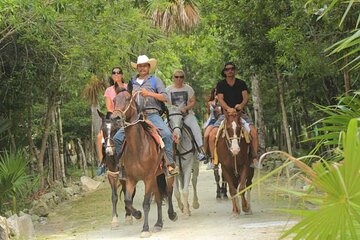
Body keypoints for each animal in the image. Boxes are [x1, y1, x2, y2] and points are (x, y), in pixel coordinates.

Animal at [112, 86, 177, 238]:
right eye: (114, 100)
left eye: (128, 99)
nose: (115, 118)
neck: (138, 147)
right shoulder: (131, 179)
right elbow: (128, 200)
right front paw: (137, 214)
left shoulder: (147, 178)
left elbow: (146, 203)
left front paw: (145, 229)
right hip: (156, 177)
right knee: (158, 198)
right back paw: (158, 224)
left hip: (164, 175)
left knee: (169, 192)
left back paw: (172, 215)